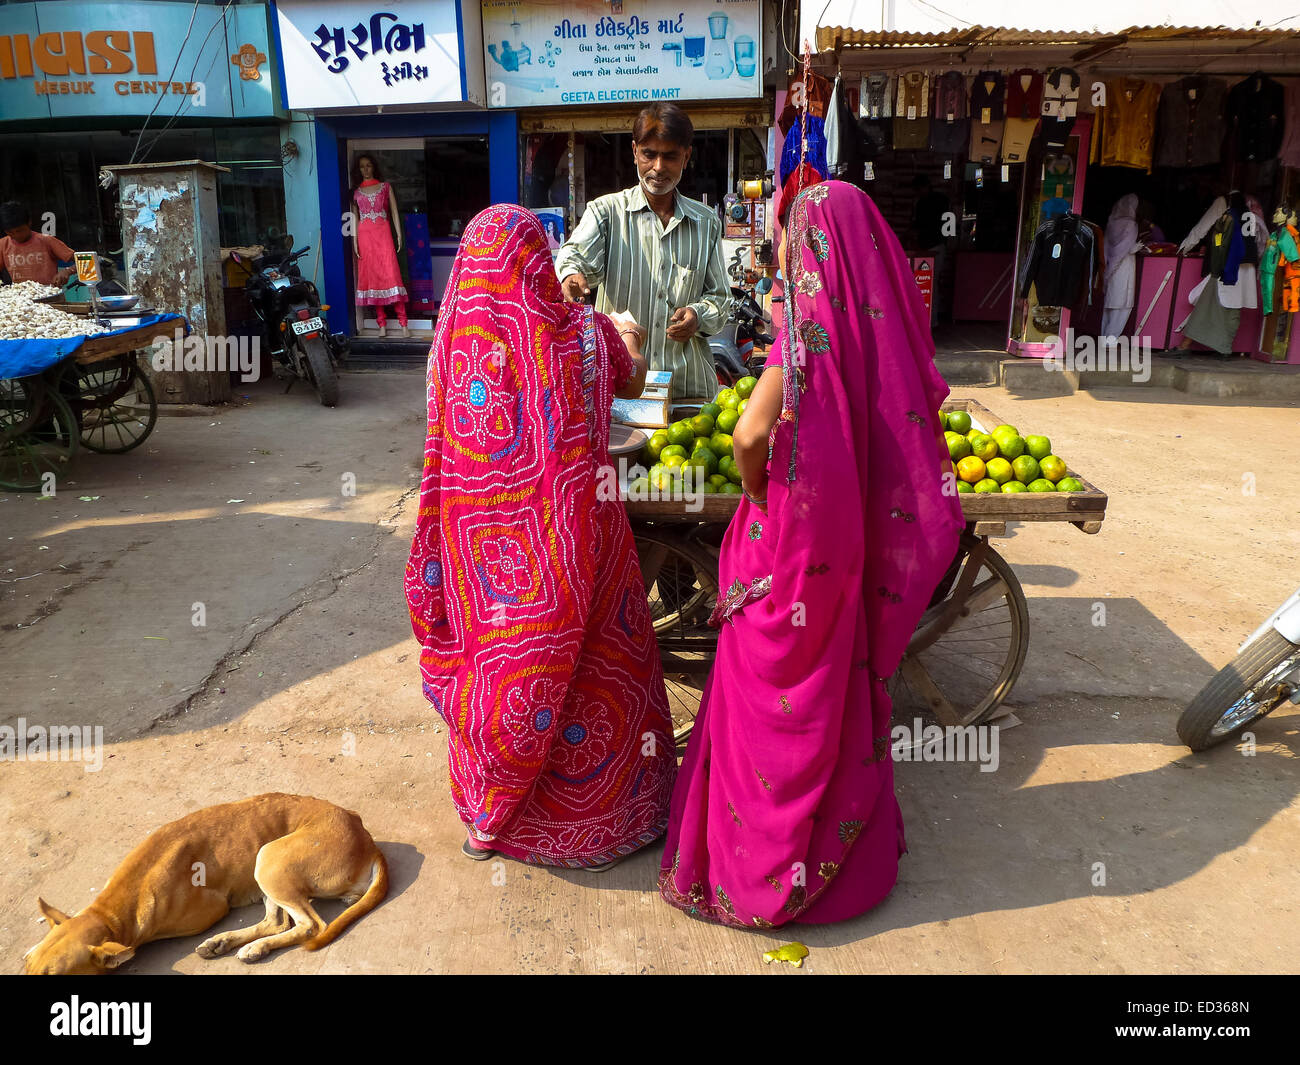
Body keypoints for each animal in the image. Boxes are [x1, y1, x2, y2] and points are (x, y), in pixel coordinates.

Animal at [25, 790, 384, 972]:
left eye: (53, 976)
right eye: (28, 965)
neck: (112, 912)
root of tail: (366, 836)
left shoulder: (208, 910)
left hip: (268, 860)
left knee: (310, 925)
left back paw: (254, 947)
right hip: (266, 864)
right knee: (278, 922)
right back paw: (228, 942)